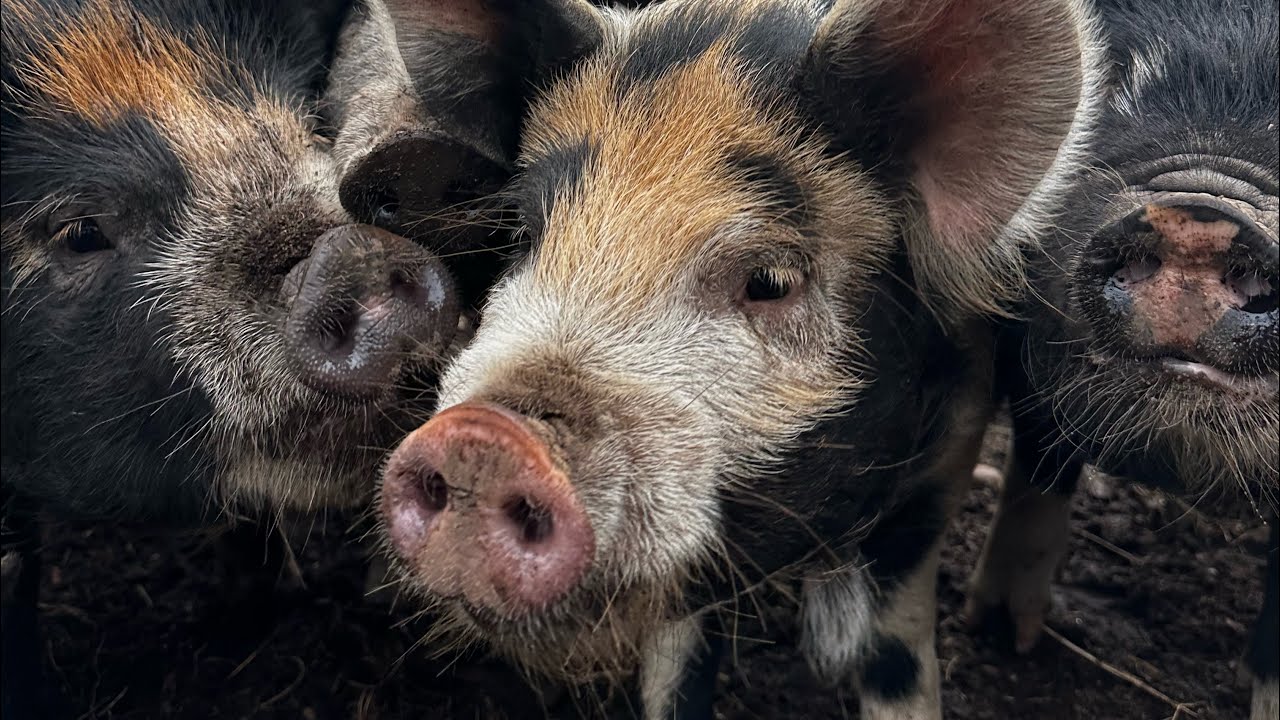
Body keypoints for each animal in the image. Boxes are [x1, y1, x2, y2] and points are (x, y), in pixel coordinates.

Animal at [374, 0, 1107, 717]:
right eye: (523, 237)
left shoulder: (945, 459)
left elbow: (895, 656)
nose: (485, 440)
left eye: (770, 281)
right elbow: (678, 668)